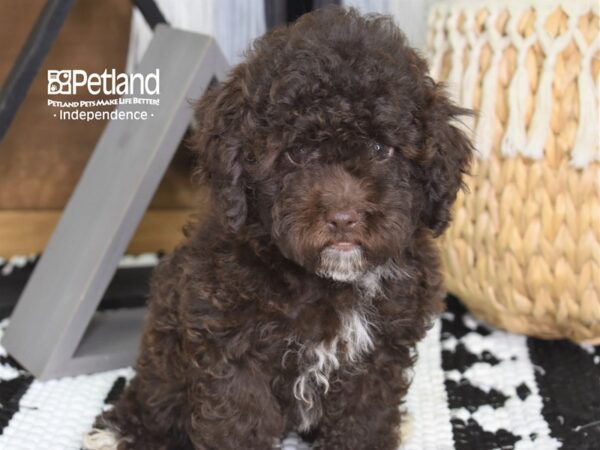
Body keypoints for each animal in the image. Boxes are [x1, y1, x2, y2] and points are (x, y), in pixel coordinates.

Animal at [86, 7, 472, 450]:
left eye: (381, 149)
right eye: (297, 153)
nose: (343, 217)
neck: (328, 283)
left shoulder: (378, 353)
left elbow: (364, 417)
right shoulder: (231, 345)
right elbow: (239, 422)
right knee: (156, 390)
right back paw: (124, 430)